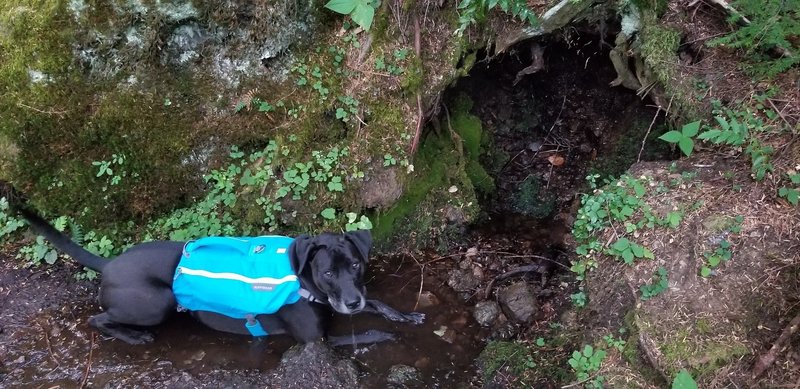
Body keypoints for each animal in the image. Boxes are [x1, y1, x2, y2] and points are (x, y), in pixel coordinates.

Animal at [14, 206, 424, 346]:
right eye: (327, 273)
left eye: (355, 265)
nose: (351, 301)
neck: (304, 282)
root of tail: (110, 264)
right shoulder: (315, 340)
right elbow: (361, 334)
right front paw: (387, 334)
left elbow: (378, 302)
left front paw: (406, 315)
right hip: (157, 302)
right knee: (97, 319)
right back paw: (133, 337)